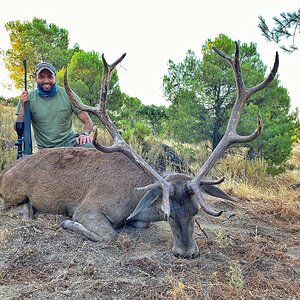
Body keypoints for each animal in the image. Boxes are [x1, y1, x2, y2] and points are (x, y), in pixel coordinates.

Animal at [0, 42, 278, 258]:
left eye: (196, 211)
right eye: (167, 214)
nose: (186, 252)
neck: (133, 195)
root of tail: (6, 171)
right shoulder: (88, 207)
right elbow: (110, 235)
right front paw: (67, 222)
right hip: (14, 191)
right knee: (15, 208)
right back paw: (28, 212)